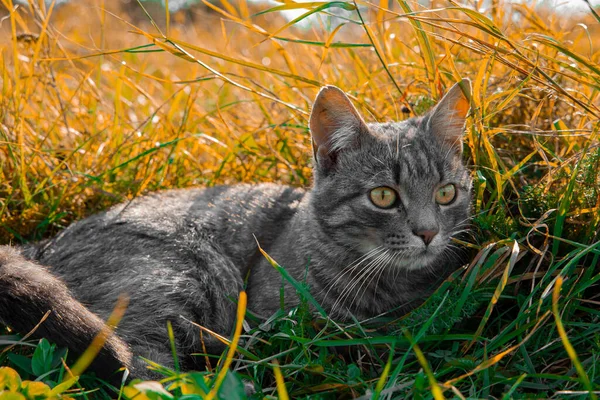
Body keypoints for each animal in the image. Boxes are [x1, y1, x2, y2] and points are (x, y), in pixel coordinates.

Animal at [0, 78, 472, 382]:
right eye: (384, 197)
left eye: (446, 193)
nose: (428, 233)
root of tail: (42, 244)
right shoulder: (275, 314)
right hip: (181, 274)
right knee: (137, 363)